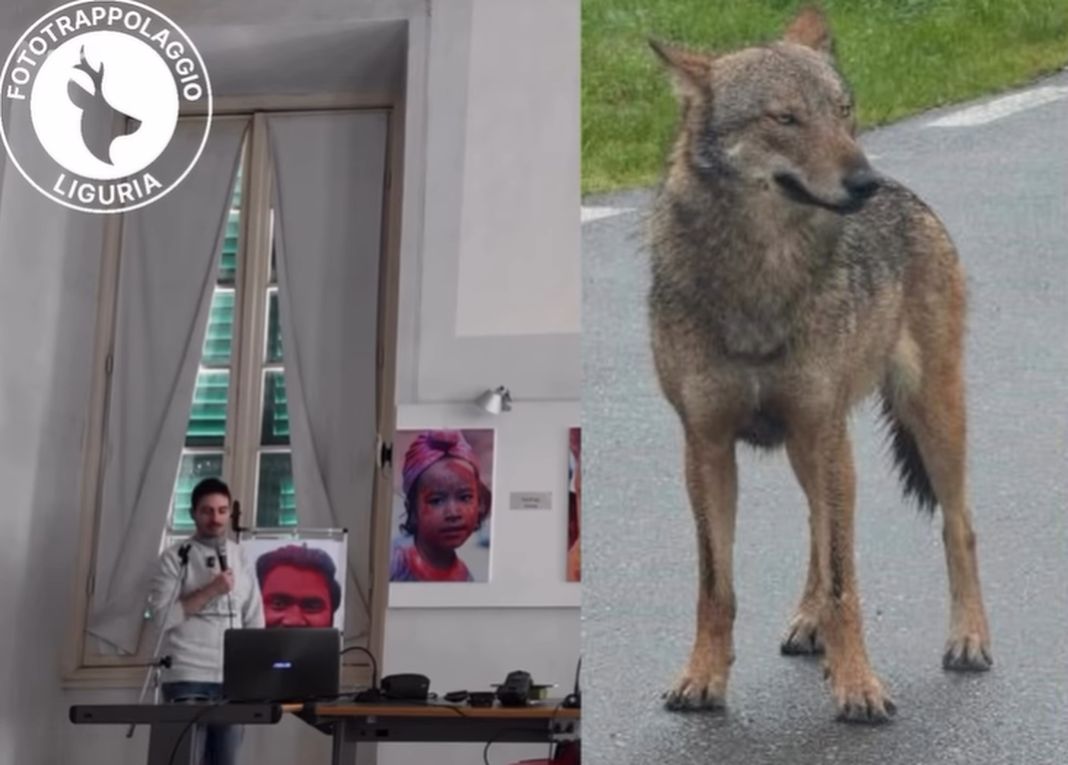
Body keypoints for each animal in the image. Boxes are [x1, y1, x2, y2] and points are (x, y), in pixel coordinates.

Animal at [647, 5, 991, 723]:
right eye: (785, 118)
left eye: (843, 110)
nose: (865, 182)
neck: (760, 275)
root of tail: (911, 197)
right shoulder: (705, 444)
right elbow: (716, 585)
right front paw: (701, 678)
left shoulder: (820, 427)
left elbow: (844, 582)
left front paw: (858, 685)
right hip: (816, 446)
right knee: (815, 526)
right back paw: (808, 626)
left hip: (925, 419)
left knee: (959, 525)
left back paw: (969, 638)